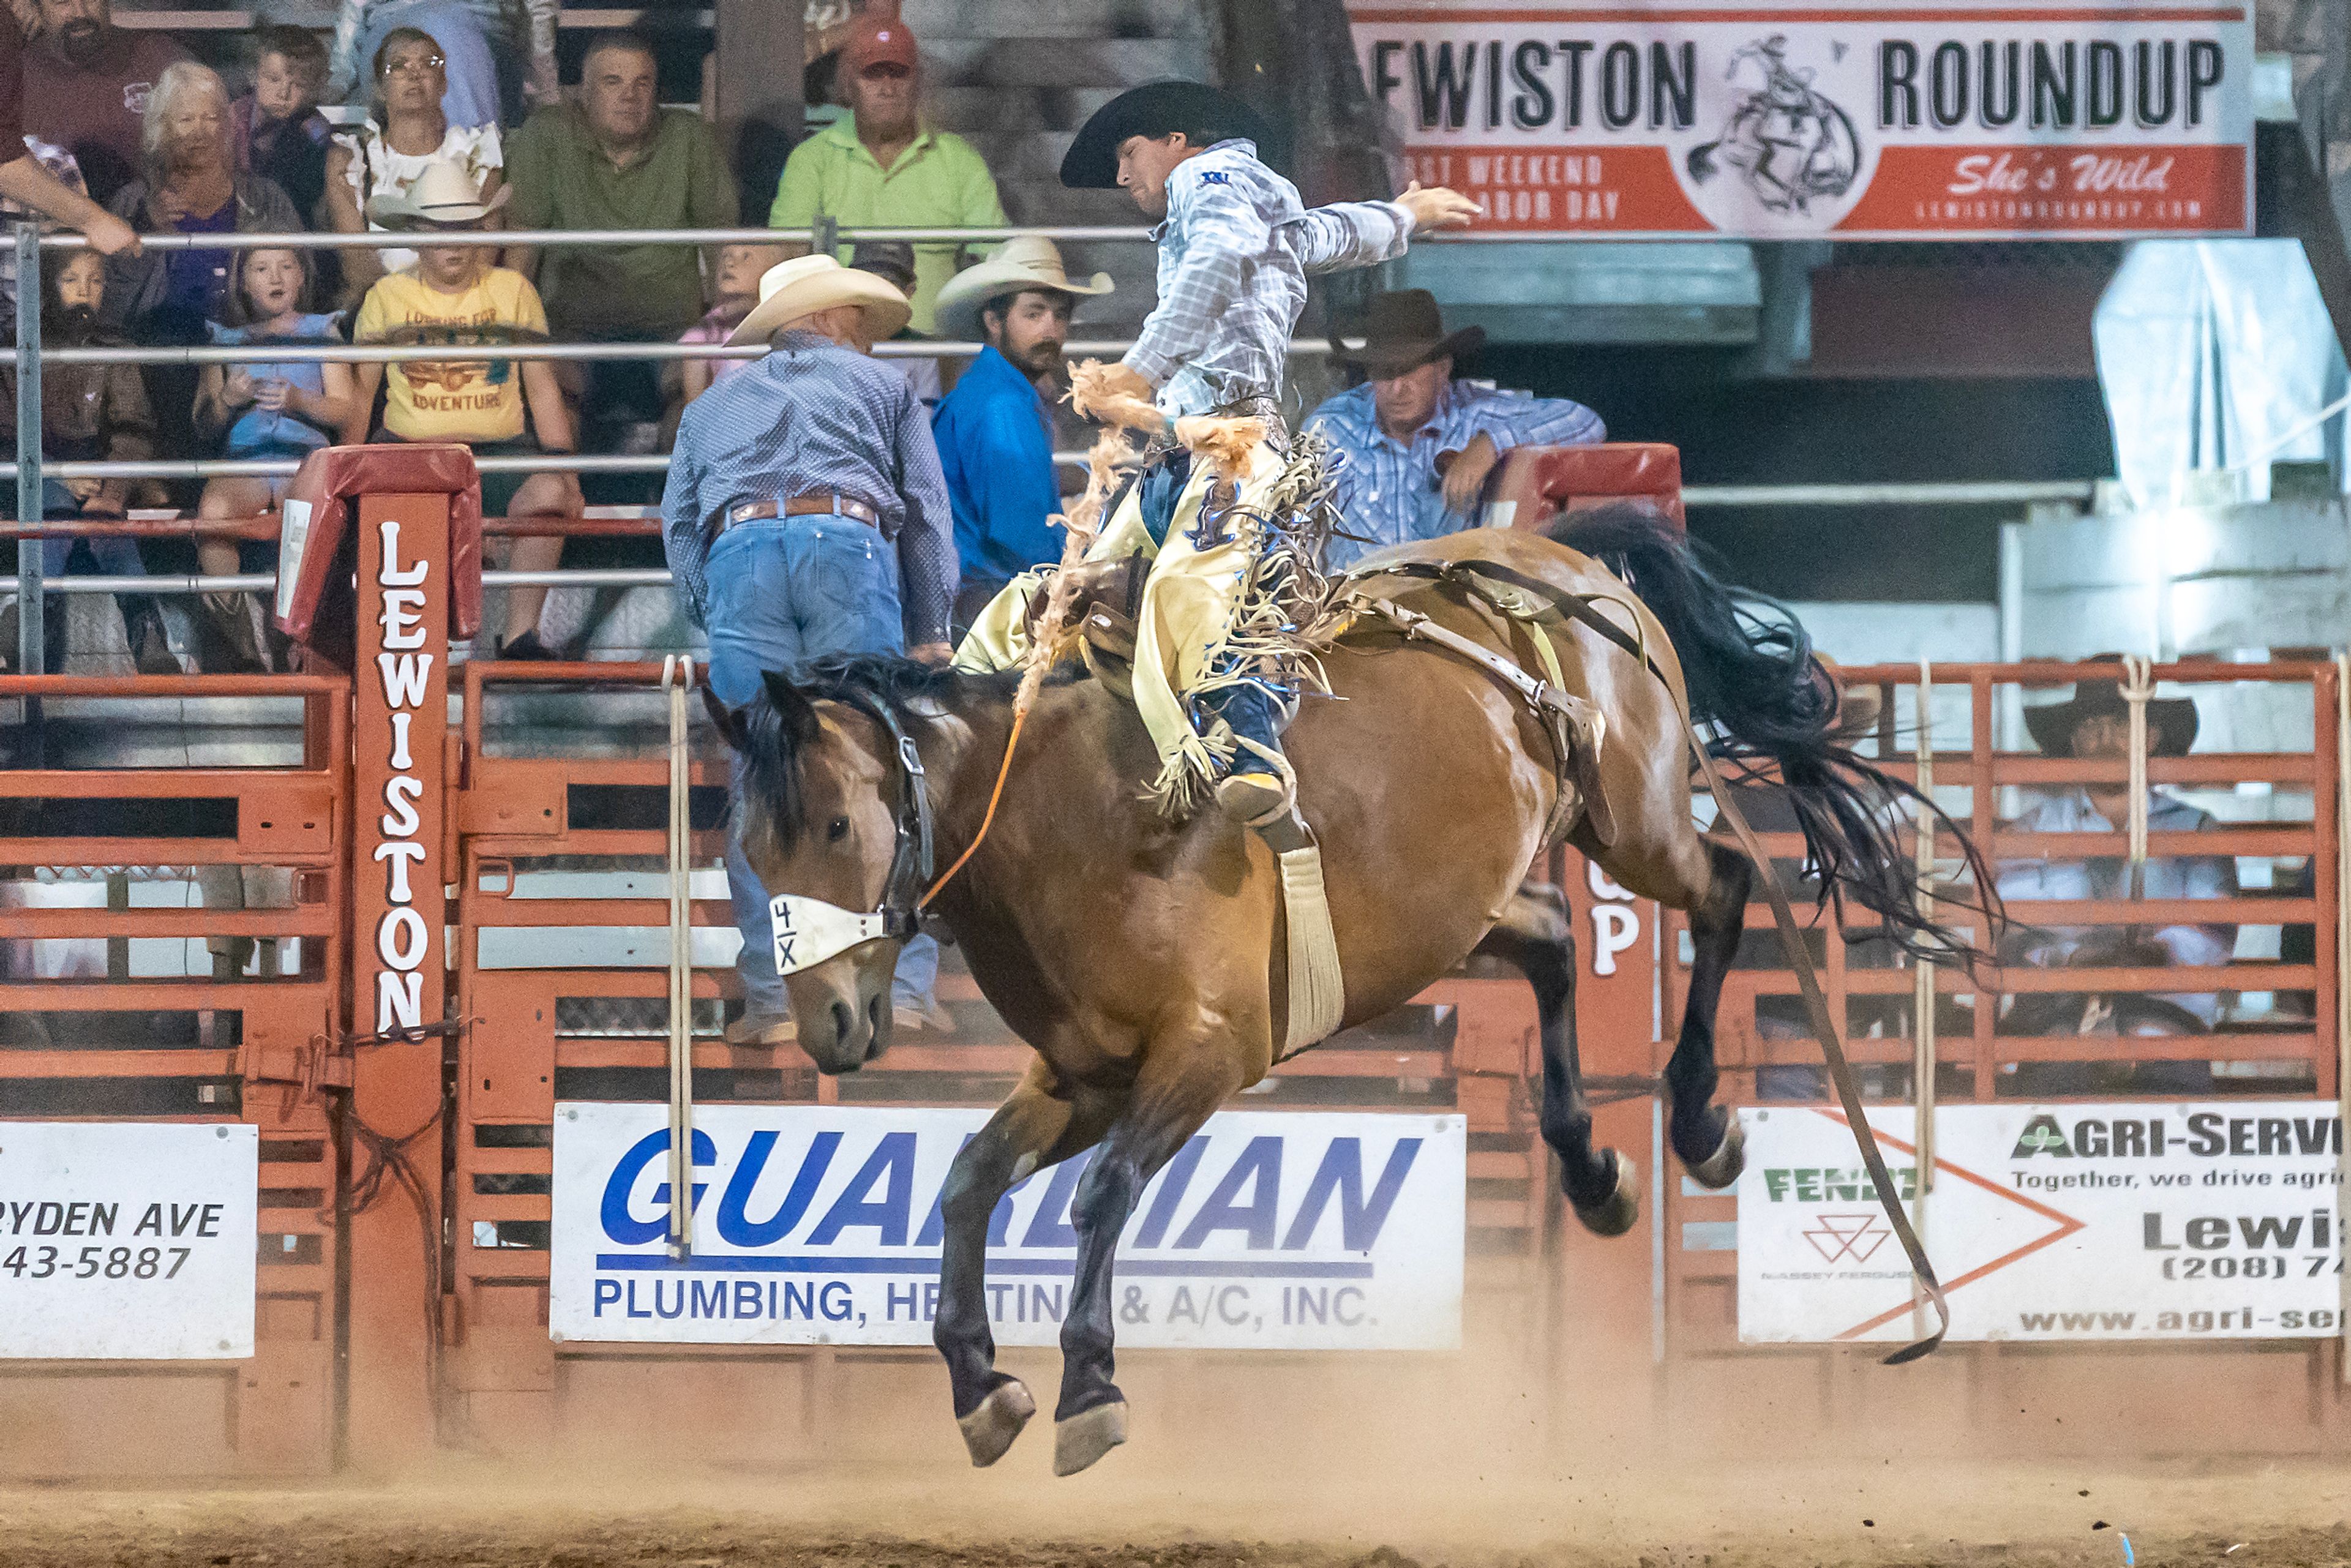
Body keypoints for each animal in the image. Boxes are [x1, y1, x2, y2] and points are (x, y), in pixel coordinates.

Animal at [705, 510, 1993, 1476]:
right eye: (750, 848)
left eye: (835, 826)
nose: (828, 1025)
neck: (1070, 820)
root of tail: (1556, 562)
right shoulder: (1083, 1073)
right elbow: (970, 1183)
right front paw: (981, 1386)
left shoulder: (1205, 1056)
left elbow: (1104, 1196)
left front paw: (1089, 1388)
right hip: (1467, 902)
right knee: (1553, 945)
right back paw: (1593, 1171)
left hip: (1637, 821)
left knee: (1722, 893)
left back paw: (1700, 1124)